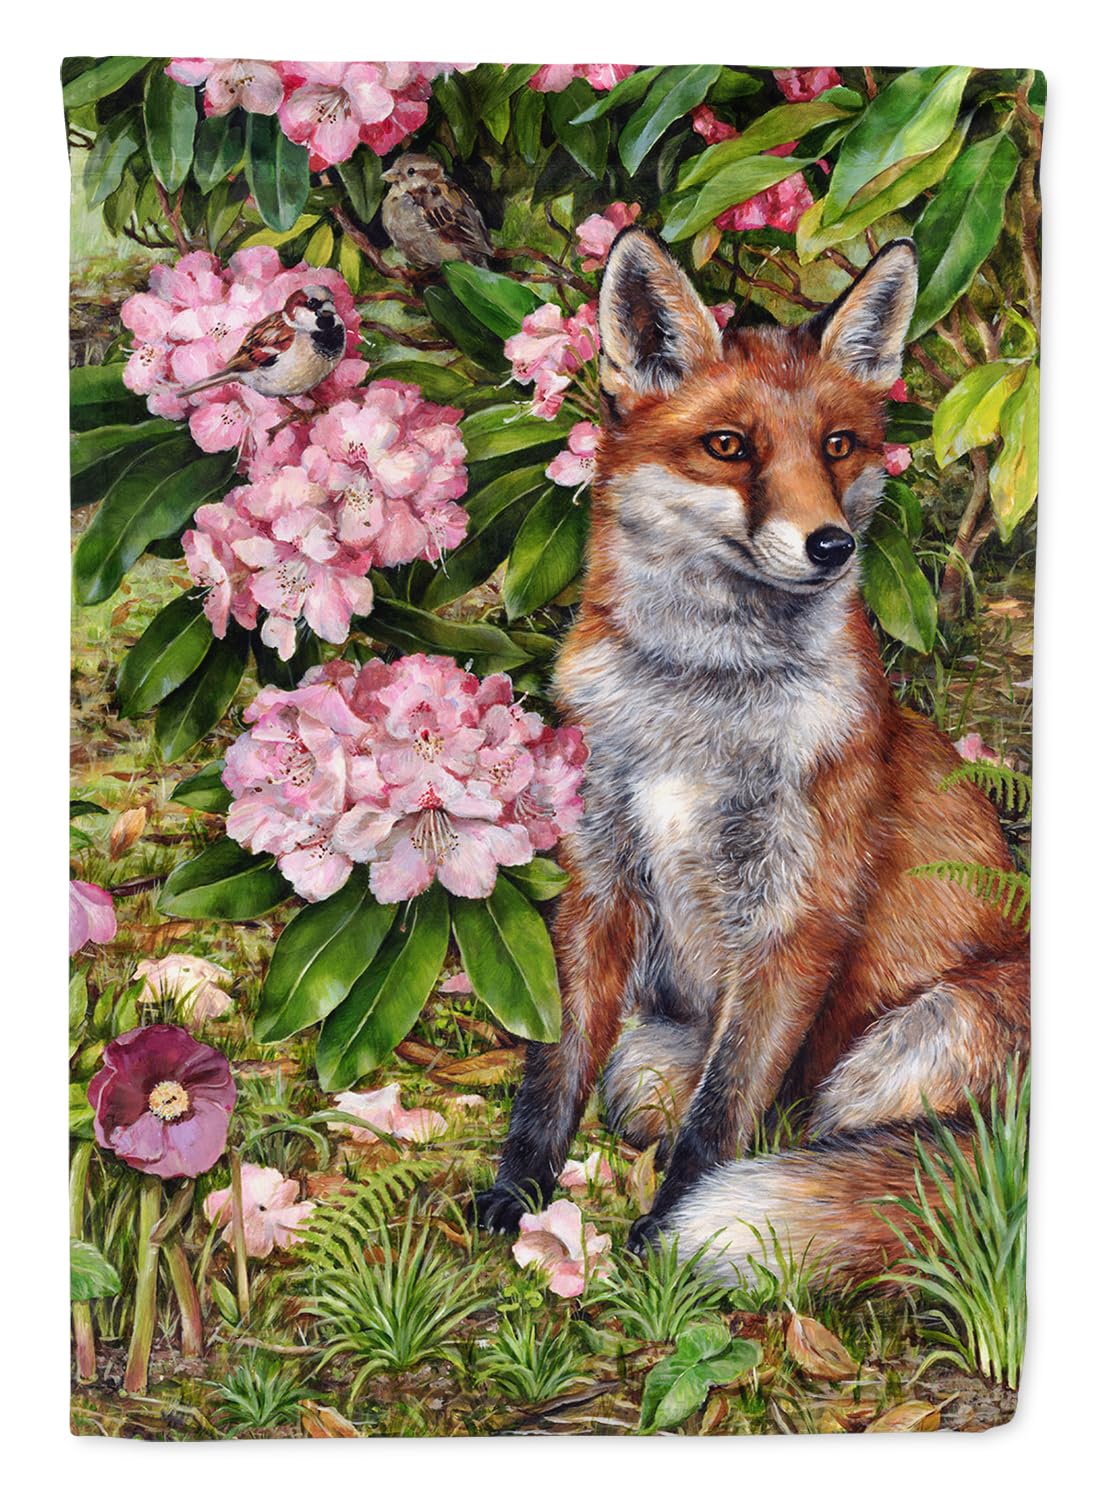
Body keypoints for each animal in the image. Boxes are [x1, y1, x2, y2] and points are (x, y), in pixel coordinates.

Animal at [472, 227, 1029, 1283]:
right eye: (729, 447)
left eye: (838, 445)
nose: (832, 545)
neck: (700, 705)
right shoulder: (597, 881)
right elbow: (555, 1070)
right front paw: (515, 1193)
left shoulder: (797, 916)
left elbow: (723, 1116)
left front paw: (663, 1238)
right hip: (656, 1055)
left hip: (916, 1039)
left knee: (850, 1142)